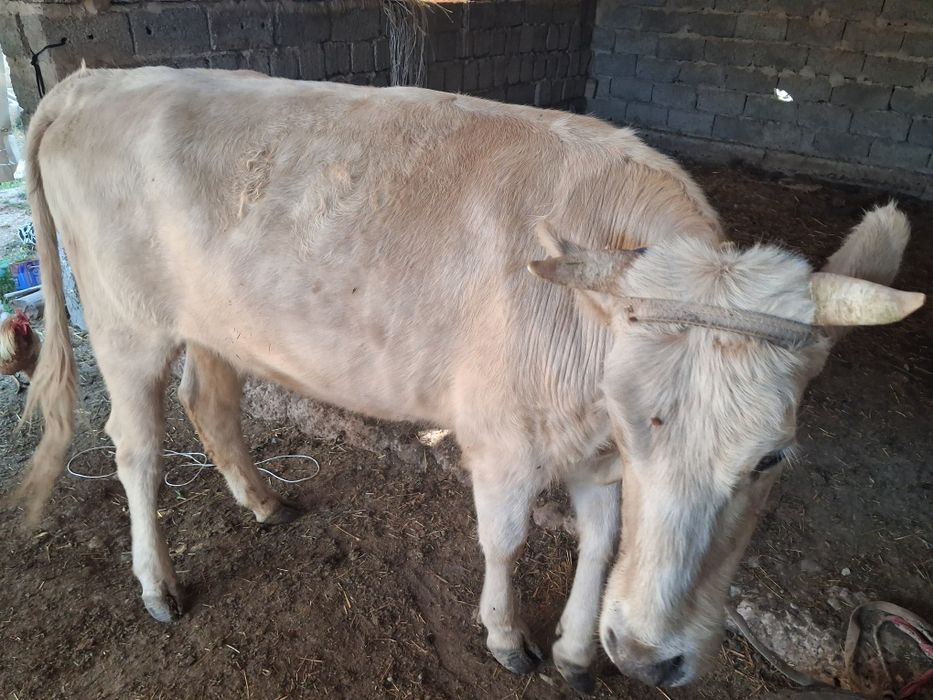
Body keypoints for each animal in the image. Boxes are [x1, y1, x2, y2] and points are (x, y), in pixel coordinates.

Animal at [14, 66, 923, 692]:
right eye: (640, 430)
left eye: (771, 458)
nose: (648, 656)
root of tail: (96, 78)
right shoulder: (502, 437)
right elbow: (506, 539)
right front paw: (507, 637)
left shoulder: (591, 454)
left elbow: (600, 540)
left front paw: (579, 652)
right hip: (127, 327)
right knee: (135, 448)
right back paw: (158, 584)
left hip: (216, 324)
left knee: (210, 403)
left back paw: (264, 503)